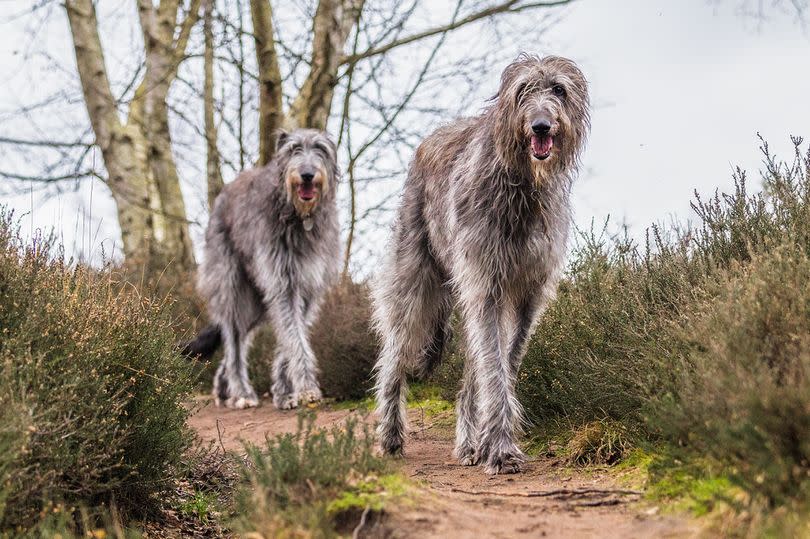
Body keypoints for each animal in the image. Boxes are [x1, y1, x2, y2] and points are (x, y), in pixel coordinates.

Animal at [184, 129, 340, 412]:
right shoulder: (282, 283)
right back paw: (241, 392)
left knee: (235, 340)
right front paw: (306, 388)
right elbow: (294, 337)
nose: (307, 174)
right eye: (293, 149)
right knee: (234, 340)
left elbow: (291, 337)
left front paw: (285, 392)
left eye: (321, 149)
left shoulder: (308, 289)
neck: (299, 217)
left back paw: (224, 388)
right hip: (232, 287)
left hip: (257, 301)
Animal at [370, 54, 588, 474]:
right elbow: (493, 366)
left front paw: (491, 443)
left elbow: (506, 361)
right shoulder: (486, 281)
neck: (522, 185)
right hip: (414, 277)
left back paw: (470, 444)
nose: (541, 125)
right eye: (522, 91)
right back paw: (390, 435)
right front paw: (501, 449)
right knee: (394, 355)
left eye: (559, 90)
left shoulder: (528, 293)